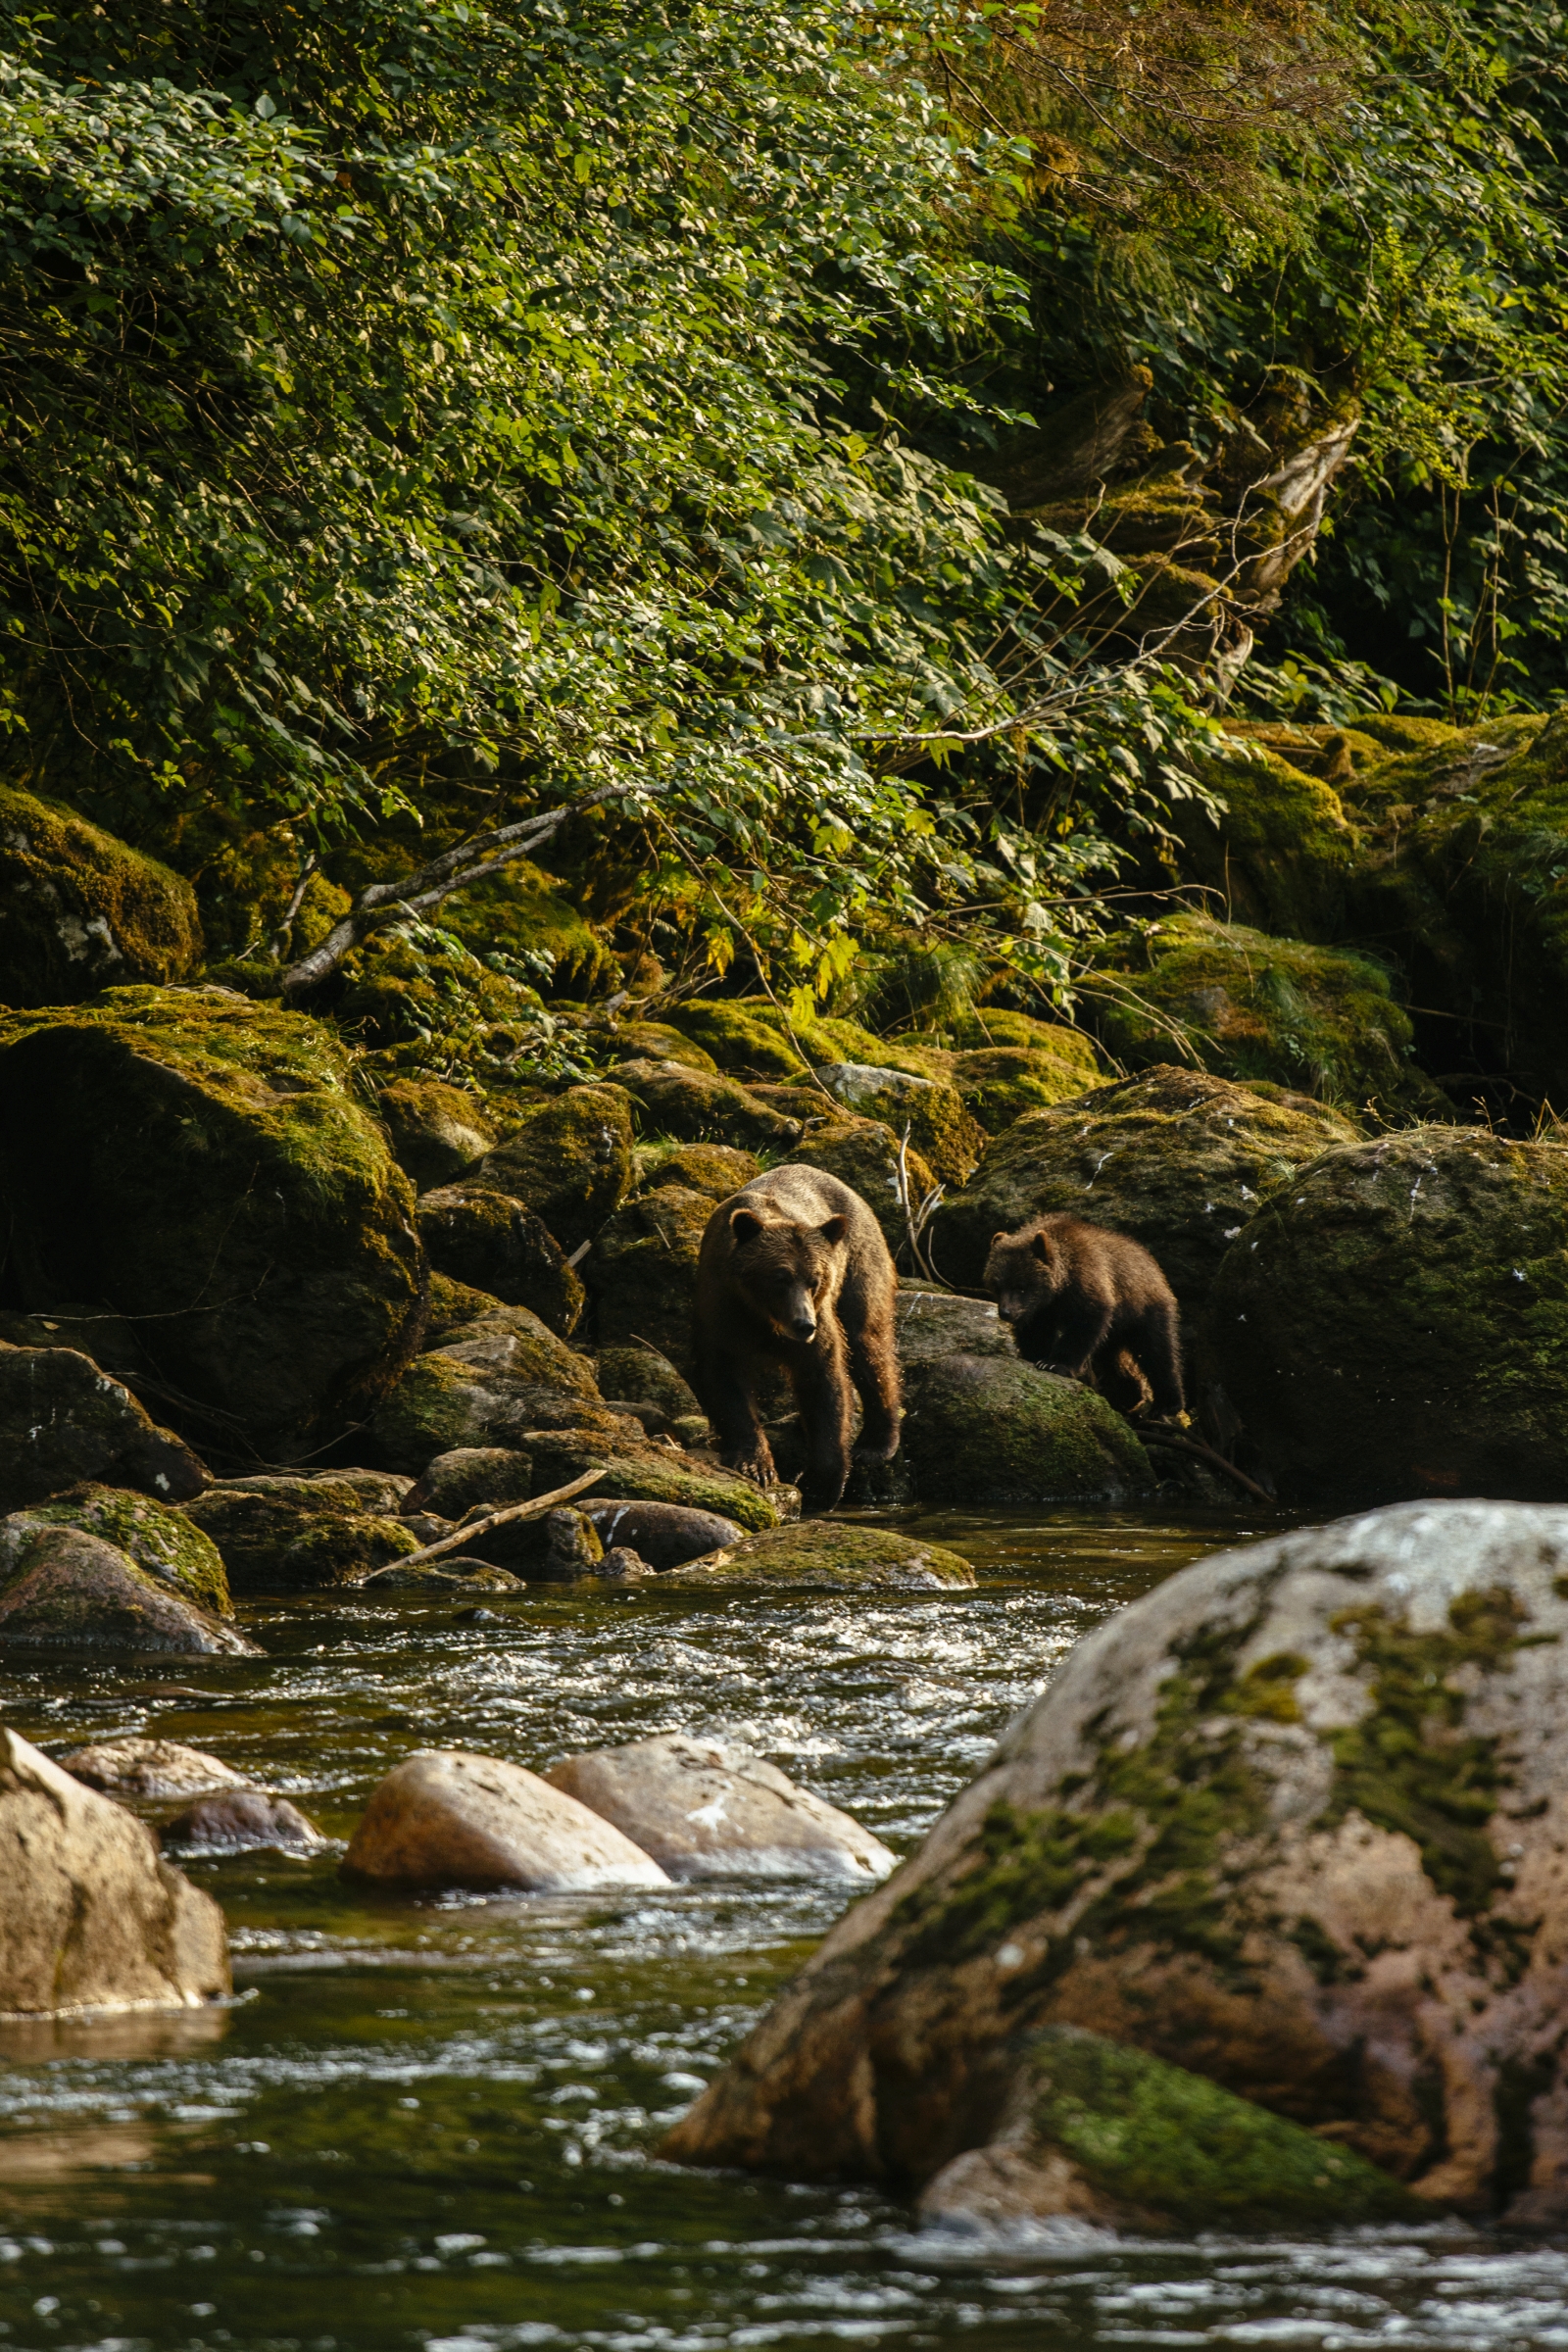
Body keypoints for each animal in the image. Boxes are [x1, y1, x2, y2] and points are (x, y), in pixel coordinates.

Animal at [693, 1163, 900, 1510]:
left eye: (814, 1279)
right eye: (780, 1277)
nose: (804, 1324)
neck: (766, 1319)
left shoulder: (819, 1327)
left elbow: (824, 1383)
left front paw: (820, 1485)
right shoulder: (725, 1313)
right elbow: (728, 1383)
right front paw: (756, 1464)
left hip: (860, 1264)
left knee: (868, 1345)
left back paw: (875, 1444)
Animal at [983, 1213, 1185, 1420]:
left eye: (1021, 1286)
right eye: (997, 1285)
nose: (1006, 1312)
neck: (1058, 1289)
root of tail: (1153, 1264)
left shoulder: (1087, 1284)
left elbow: (1084, 1326)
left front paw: (1053, 1364)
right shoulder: (1040, 1311)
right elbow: (1035, 1332)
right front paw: (1035, 1356)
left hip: (1142, 1308)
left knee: (1157, 1350)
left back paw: (1166, 1403)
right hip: (1116, 1331)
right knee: (1115, 1361)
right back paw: (1128, 1397)